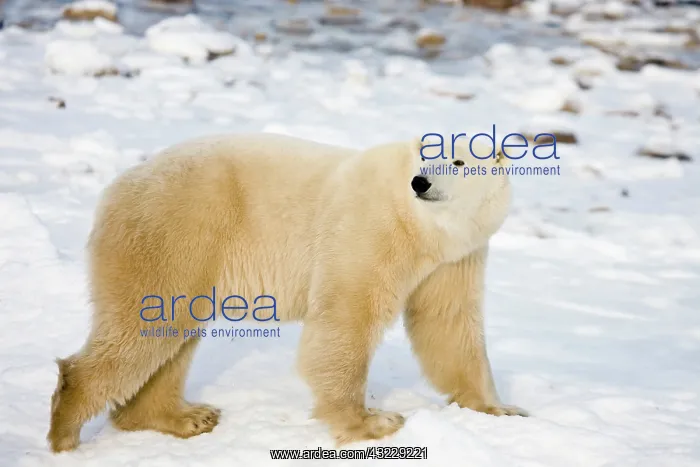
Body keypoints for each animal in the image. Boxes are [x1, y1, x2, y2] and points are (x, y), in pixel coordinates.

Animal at [47, 132, 526, 453]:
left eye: (458, 162)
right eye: (427, 156)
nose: (420, 183)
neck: (422, 227)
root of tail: (116, 188)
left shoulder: (454, 258)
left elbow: (448, 325)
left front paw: (501, 410)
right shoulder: (368, 229)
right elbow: (346, 318)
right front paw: (372, 423)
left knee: (170, 336)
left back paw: (185, 417)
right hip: (173, 232)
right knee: (145, 326)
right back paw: (66, 434)